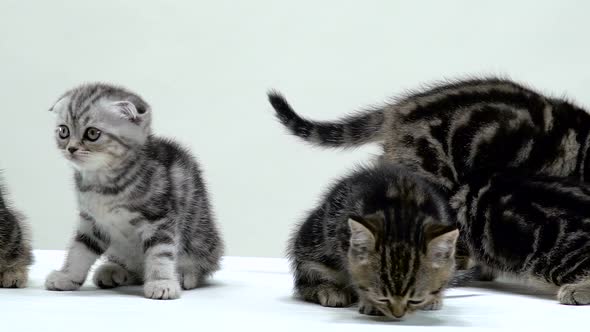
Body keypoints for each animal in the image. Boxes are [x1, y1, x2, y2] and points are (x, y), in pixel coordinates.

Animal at [45, 83, 223, 300]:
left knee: (203, 264)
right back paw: (114, 271)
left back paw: (184, 274)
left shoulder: (159, 217)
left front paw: (162, 282)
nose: (70, 148)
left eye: (92, 133)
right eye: (63, 131)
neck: (103, 185)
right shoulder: (92, 222)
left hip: (201, 237)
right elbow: (79, 249)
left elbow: (160, 253)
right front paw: (68, 276)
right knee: (136, 271)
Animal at [290, 163, 460, 320]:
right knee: (306, 282)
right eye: (382, 297)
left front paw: (435, 297)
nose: (398, 315)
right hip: (312, 248)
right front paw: (370, 302)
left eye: (415, 300)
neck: (403, 207)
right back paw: (330, 290)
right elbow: (355, 274)